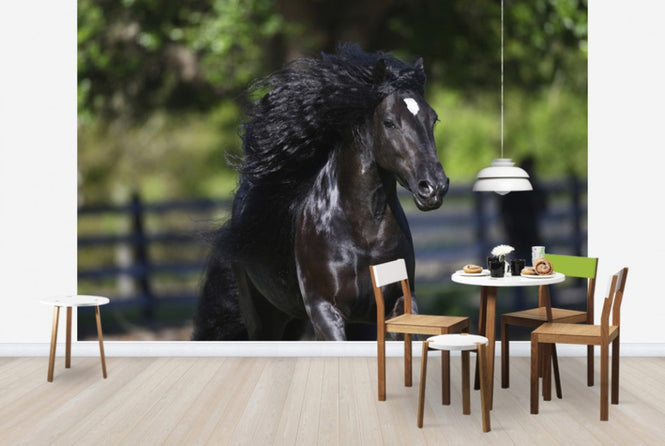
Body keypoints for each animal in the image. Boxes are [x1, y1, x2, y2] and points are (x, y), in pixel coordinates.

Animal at [192, 43, 449, 341]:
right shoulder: (324, 310)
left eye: (433, 119)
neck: (364, 236)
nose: (434, 187)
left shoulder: (396, 304)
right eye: (389, 122)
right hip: (264, 319)